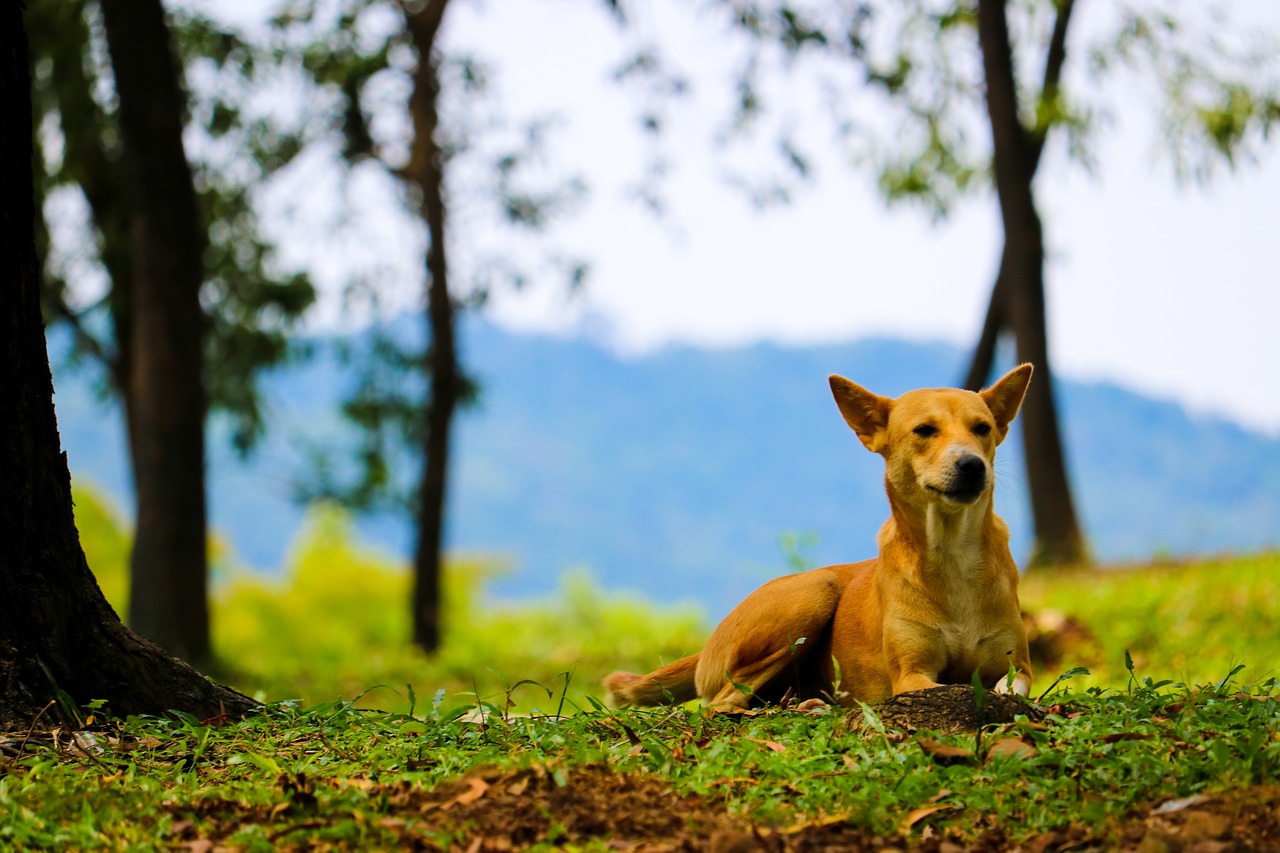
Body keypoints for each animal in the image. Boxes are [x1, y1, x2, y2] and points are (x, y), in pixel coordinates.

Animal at [604, 363, 1034, 701]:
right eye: (925, 430)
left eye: (983, 429)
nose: (972, 465)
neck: (952, 553)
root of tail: (707, 646)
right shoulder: (911, 675)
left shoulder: (1017, 665)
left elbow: (1011, 686)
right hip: (813, 593)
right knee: (724, 703)